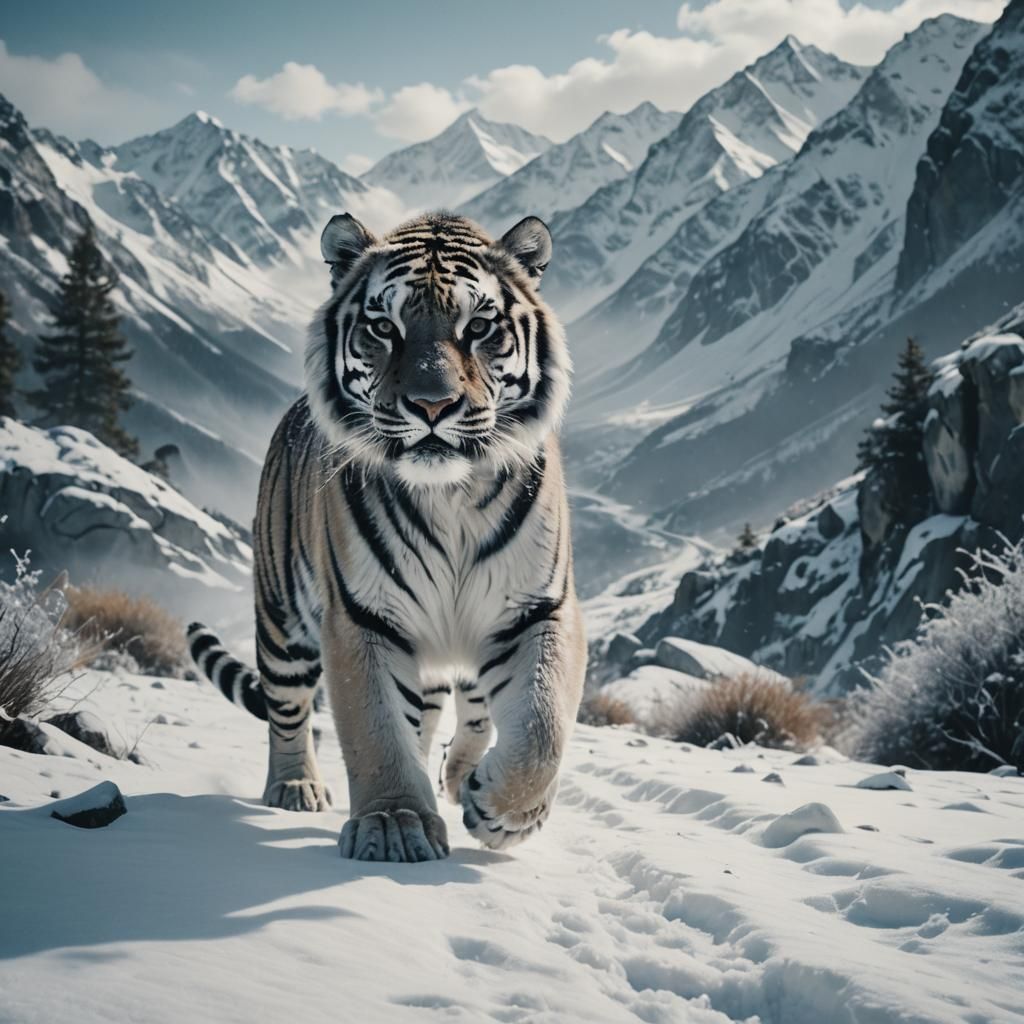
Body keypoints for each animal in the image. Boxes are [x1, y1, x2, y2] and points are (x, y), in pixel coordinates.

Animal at [187, 211, 586, 862]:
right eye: (383, 327)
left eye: (479, 327)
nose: (432, 405)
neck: (450, 496)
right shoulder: (362, 616)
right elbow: (375, 731)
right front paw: (396, 825)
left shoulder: (537, 608)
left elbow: (542, 722)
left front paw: (503, 813)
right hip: (282, 622)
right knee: (288, 710)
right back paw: (294, 787)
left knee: (469, 713)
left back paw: (458, 778)